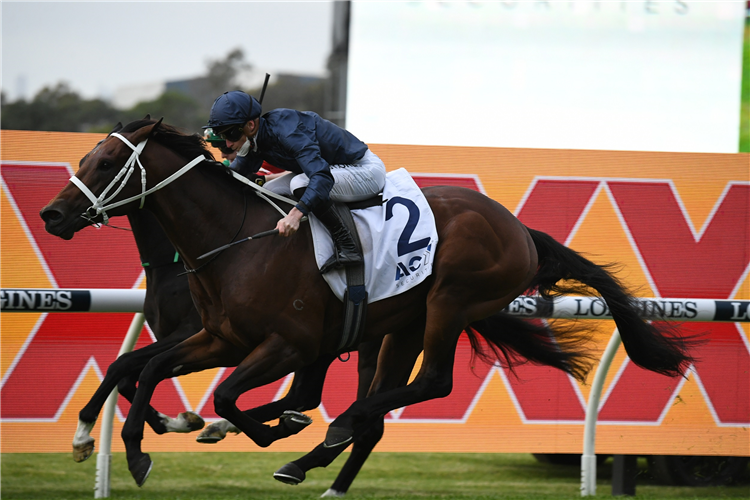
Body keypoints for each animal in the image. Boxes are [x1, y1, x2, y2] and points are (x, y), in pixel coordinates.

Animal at [39, 119, 700, 490]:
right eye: (83, 159)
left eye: (104, 162)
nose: (51, 214)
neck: (236, 239)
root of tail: (519, 230)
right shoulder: (220, 337)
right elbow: (145, 365)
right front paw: (133, 450)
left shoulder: (286, 344)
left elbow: (220, 392)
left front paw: (251, 430)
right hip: (402, 321)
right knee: (378, 406)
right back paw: (315, 448)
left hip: (448, 302)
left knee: (428, 385)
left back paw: (324, 437)